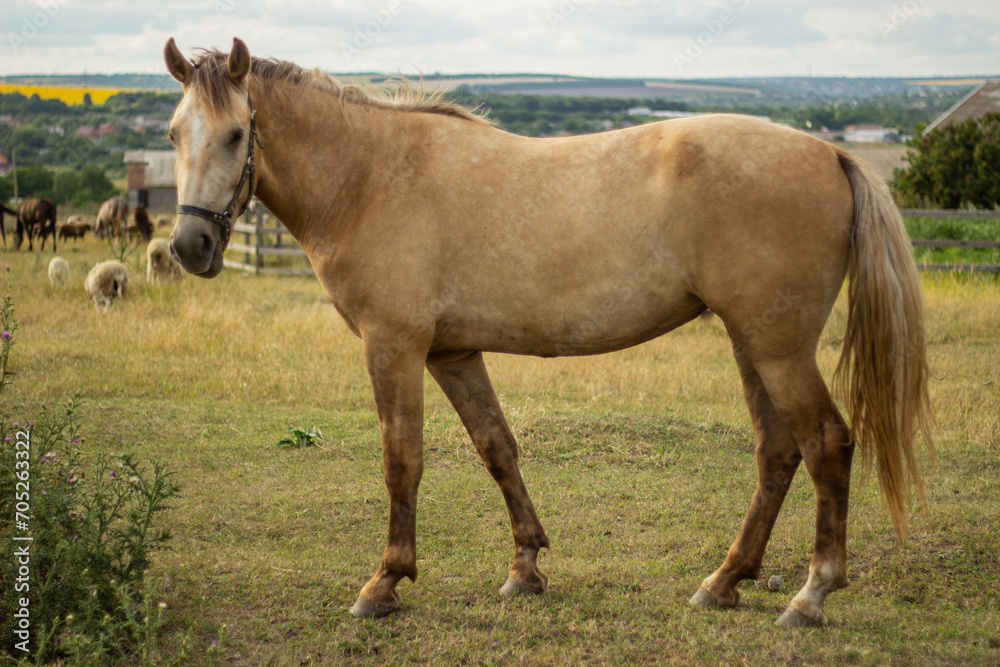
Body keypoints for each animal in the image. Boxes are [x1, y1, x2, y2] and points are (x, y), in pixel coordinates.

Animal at [160, 39, 932, 628]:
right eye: (173, 133)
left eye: (236, 134)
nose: (191, 246)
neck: (370, 177)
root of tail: (828, 152)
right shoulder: (452, 352)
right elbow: (496, 447)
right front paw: (525, 566)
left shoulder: (394, 347)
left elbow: (401, 460)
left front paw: (384, 583)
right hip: (753, 342)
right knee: (777, 451)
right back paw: (724, 581)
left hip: (778, 347)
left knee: (825, 444)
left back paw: (811, 594)